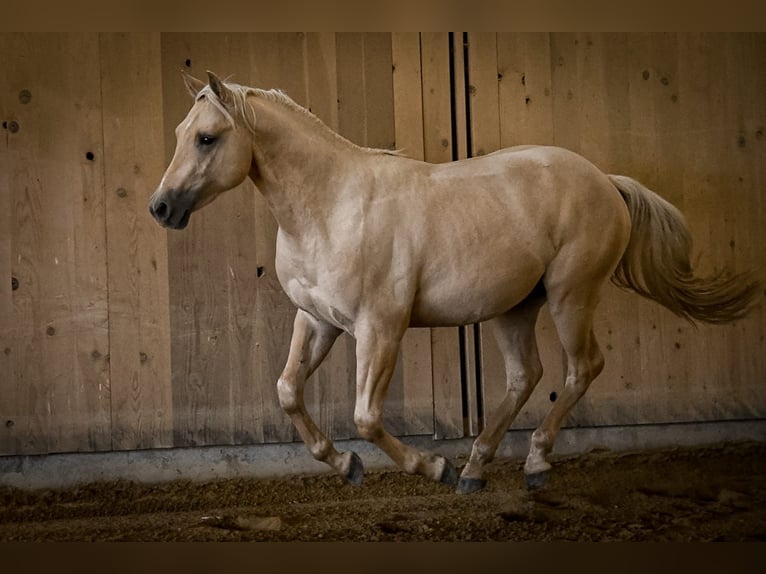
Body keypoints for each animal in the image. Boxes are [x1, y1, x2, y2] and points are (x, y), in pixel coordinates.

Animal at [150, 71, 760, 496]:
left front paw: (432, 465)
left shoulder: (381, 329)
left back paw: (531, 463)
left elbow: (366, 417)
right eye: (180, 133)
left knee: (581, 368)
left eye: (206, 138)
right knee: (525, 376)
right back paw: (476, 468)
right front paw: (347, 465)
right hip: (515, 307)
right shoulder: (319, 321)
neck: (332, 206)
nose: (161, 208)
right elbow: (287, 391)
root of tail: (605, 181)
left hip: (571, 296)